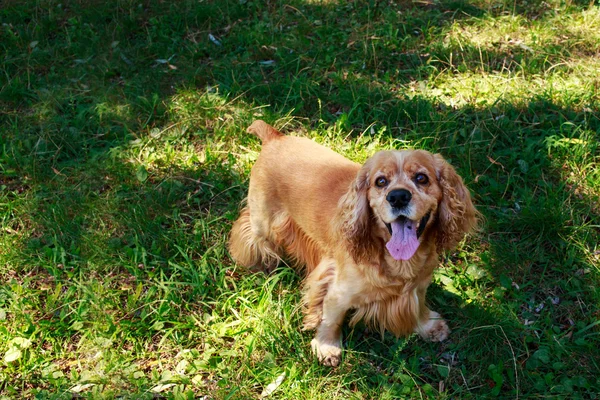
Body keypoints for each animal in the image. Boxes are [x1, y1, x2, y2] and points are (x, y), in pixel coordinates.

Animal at [230, 120, 478, 368]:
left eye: (421, 178)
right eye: (380, 182)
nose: (398, 197)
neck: (397, 263)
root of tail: (275, 137)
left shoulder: (418, 286)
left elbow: (418, 307)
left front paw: (428, 326)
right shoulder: (338, 291)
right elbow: (331, 318)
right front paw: (327, 346)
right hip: (263, 220)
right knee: (249, 234)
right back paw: (260, 264)